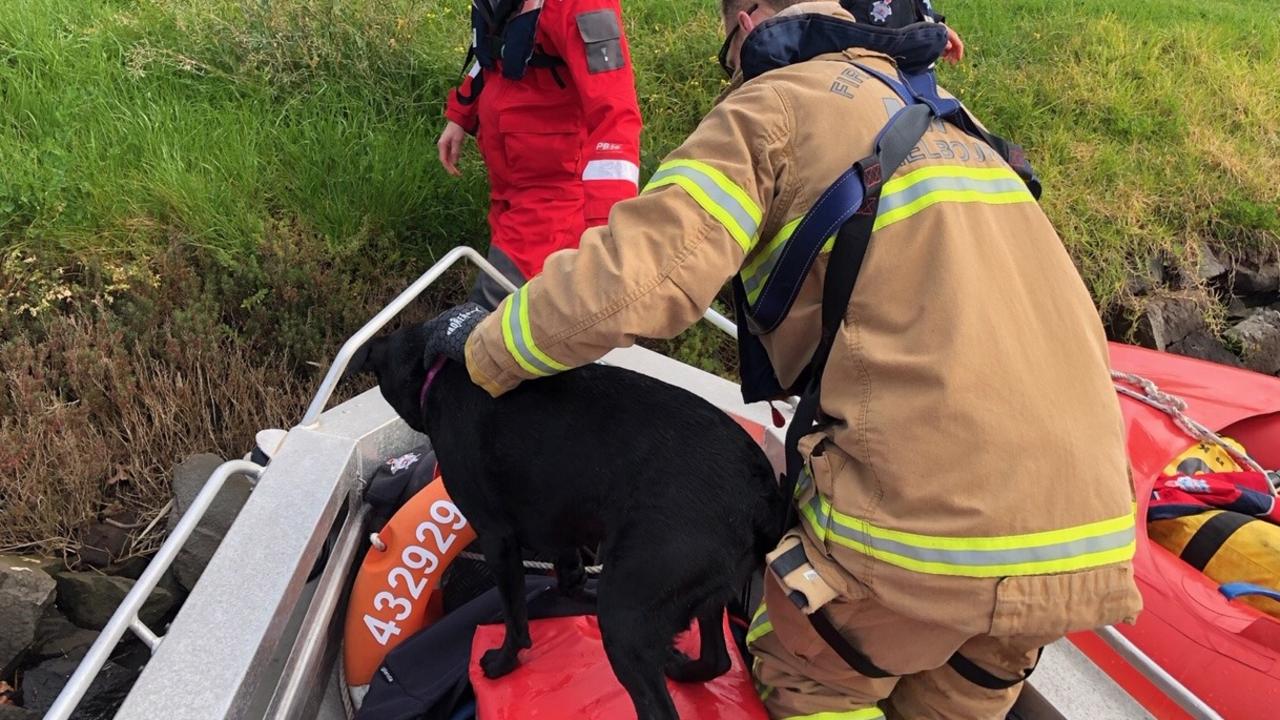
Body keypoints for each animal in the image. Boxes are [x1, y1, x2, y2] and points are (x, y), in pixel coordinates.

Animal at [353, 324, 788, 717]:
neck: (438, 370)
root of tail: (761, 495)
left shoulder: (496, 537)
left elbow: (515, 617)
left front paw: (503, 663)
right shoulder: (559, 524)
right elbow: (568, 572)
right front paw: (573, 594)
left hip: (627, 614)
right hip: (706, 593)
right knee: (718, 659)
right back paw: (679, 667)